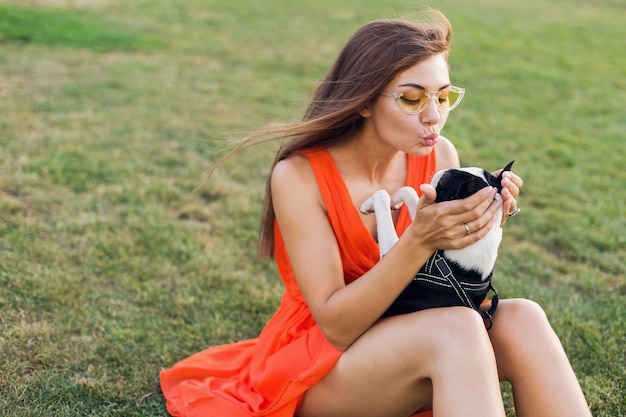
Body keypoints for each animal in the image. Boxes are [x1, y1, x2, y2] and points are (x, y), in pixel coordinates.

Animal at [358, 161, 516, 326]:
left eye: (447, 177)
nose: (442, 170)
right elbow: (409, 191)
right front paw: (394, 200)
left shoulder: (394, 258)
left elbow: (382, 196)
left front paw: (367, 205)